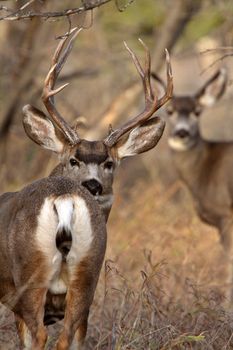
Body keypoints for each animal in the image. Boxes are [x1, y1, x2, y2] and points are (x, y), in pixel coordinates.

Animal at [0, 27, 173, 350]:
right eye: (73, 160)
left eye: (109, 163)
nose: (92, 184)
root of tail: (65, 198)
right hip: (87, 276)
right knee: (69, 336)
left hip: (29, 277)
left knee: (40, 335)